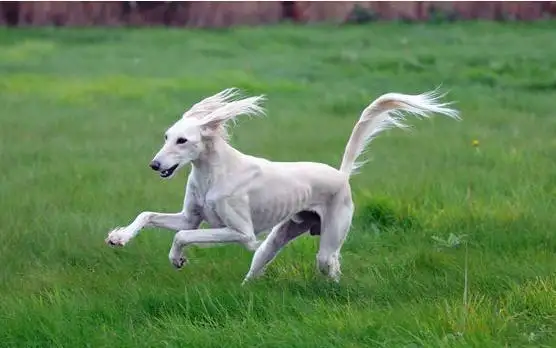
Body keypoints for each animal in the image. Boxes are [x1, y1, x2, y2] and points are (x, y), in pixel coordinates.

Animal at [105, 86, 460, 282]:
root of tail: (341, 174)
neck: (213, 174)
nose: (155, 165)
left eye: (182, 140)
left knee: (329, 264)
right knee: (263, 266)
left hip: (326, 239)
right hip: (276, 239)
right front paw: (120, 237)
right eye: (166, 137)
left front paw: (176, 258)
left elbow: (181, 236)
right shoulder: (192, 217)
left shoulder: (242, 234)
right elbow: (149, 215)